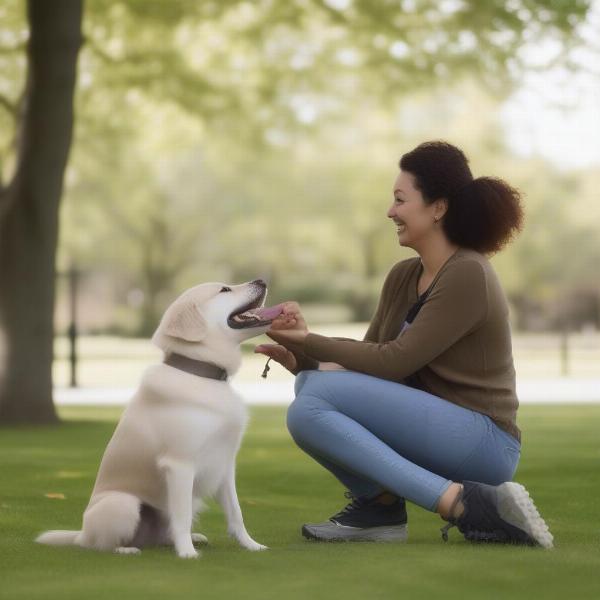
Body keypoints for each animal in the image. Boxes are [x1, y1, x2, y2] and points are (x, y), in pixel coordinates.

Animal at [36, 278, 282, 560]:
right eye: (224, 290)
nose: (261, 280)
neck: (202, 376)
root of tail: (81, 533)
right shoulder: (180, 464)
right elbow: (182, 517)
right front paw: (187, 555)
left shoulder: (225, 465)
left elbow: (236, 513)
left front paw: (252, 546)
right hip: (123, 503)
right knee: (101, 544)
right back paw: (127, 548)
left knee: (164, 534)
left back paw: (191, 539)